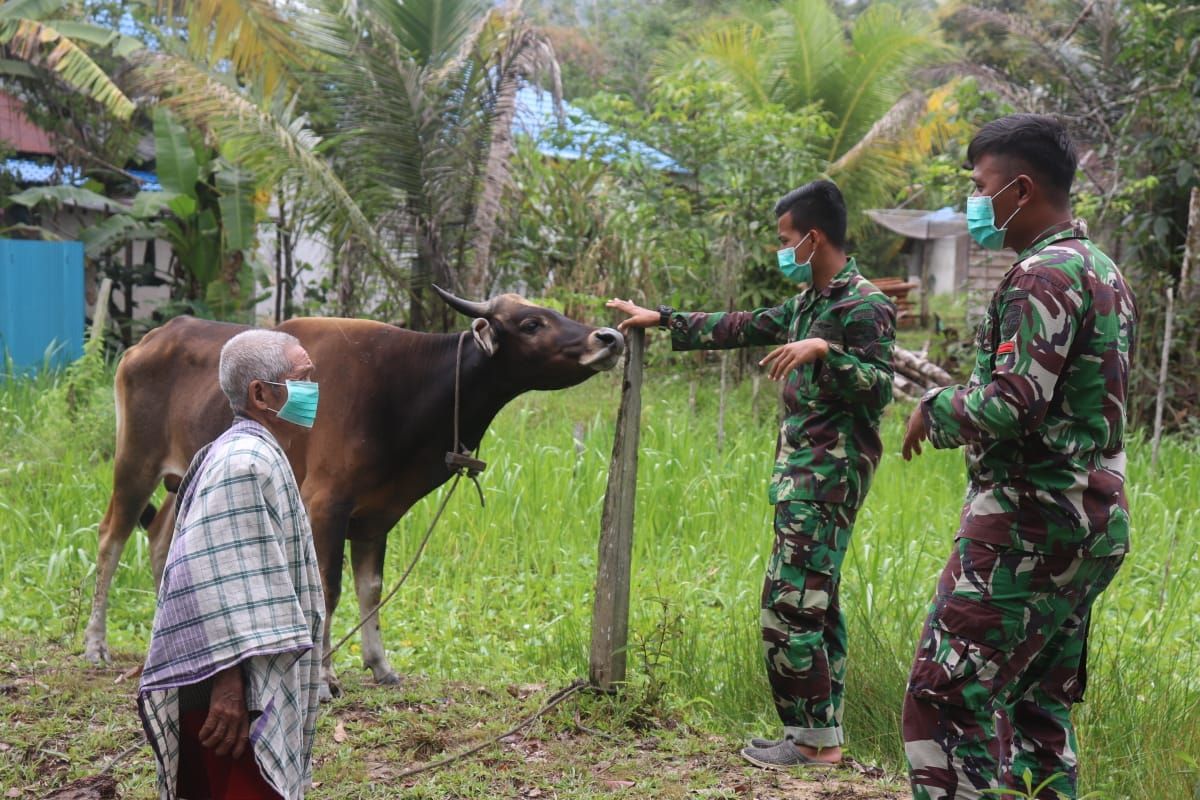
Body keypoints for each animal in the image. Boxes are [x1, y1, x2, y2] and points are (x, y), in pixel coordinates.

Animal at [85, 289, 624, 695]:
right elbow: (329, 588)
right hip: (136, 461)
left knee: (160, 536)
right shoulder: (327, 504)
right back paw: (95, 644)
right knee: (112, 536)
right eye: (532, 323)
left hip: (182, 475)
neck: (405, 389)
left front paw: (381, 665)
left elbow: (372, 587)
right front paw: (324, 677)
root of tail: (150, 340)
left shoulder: (376, 514)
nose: (610, 337)